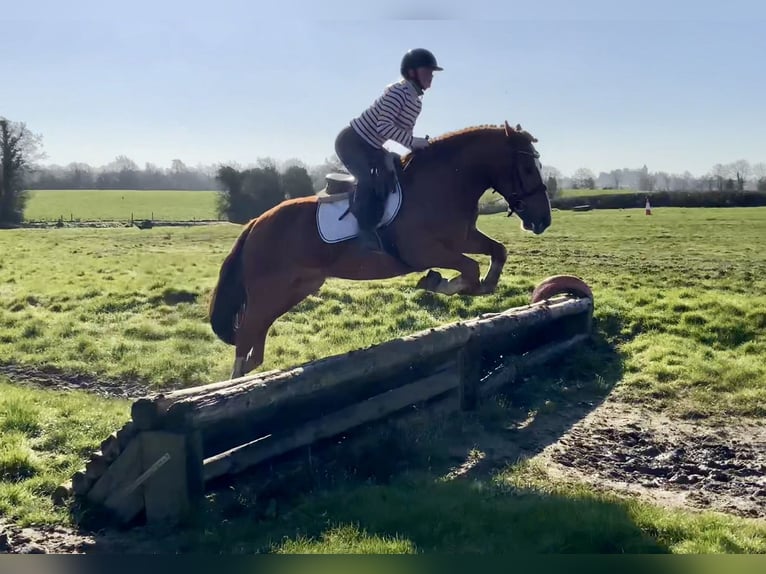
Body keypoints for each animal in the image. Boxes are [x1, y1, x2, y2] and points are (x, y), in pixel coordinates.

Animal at [209, 120, 552, 379]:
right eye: (527, 167)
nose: (543, 220)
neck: (444, 184)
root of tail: (255, 223)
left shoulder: (463, 238)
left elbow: (497, 252)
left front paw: (481, 286)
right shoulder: (424, 251)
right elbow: (470, 268)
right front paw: (438, 282)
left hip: (293, 290)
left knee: (254, 340)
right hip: (269, 290)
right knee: (246, 336)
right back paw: (233, 386)